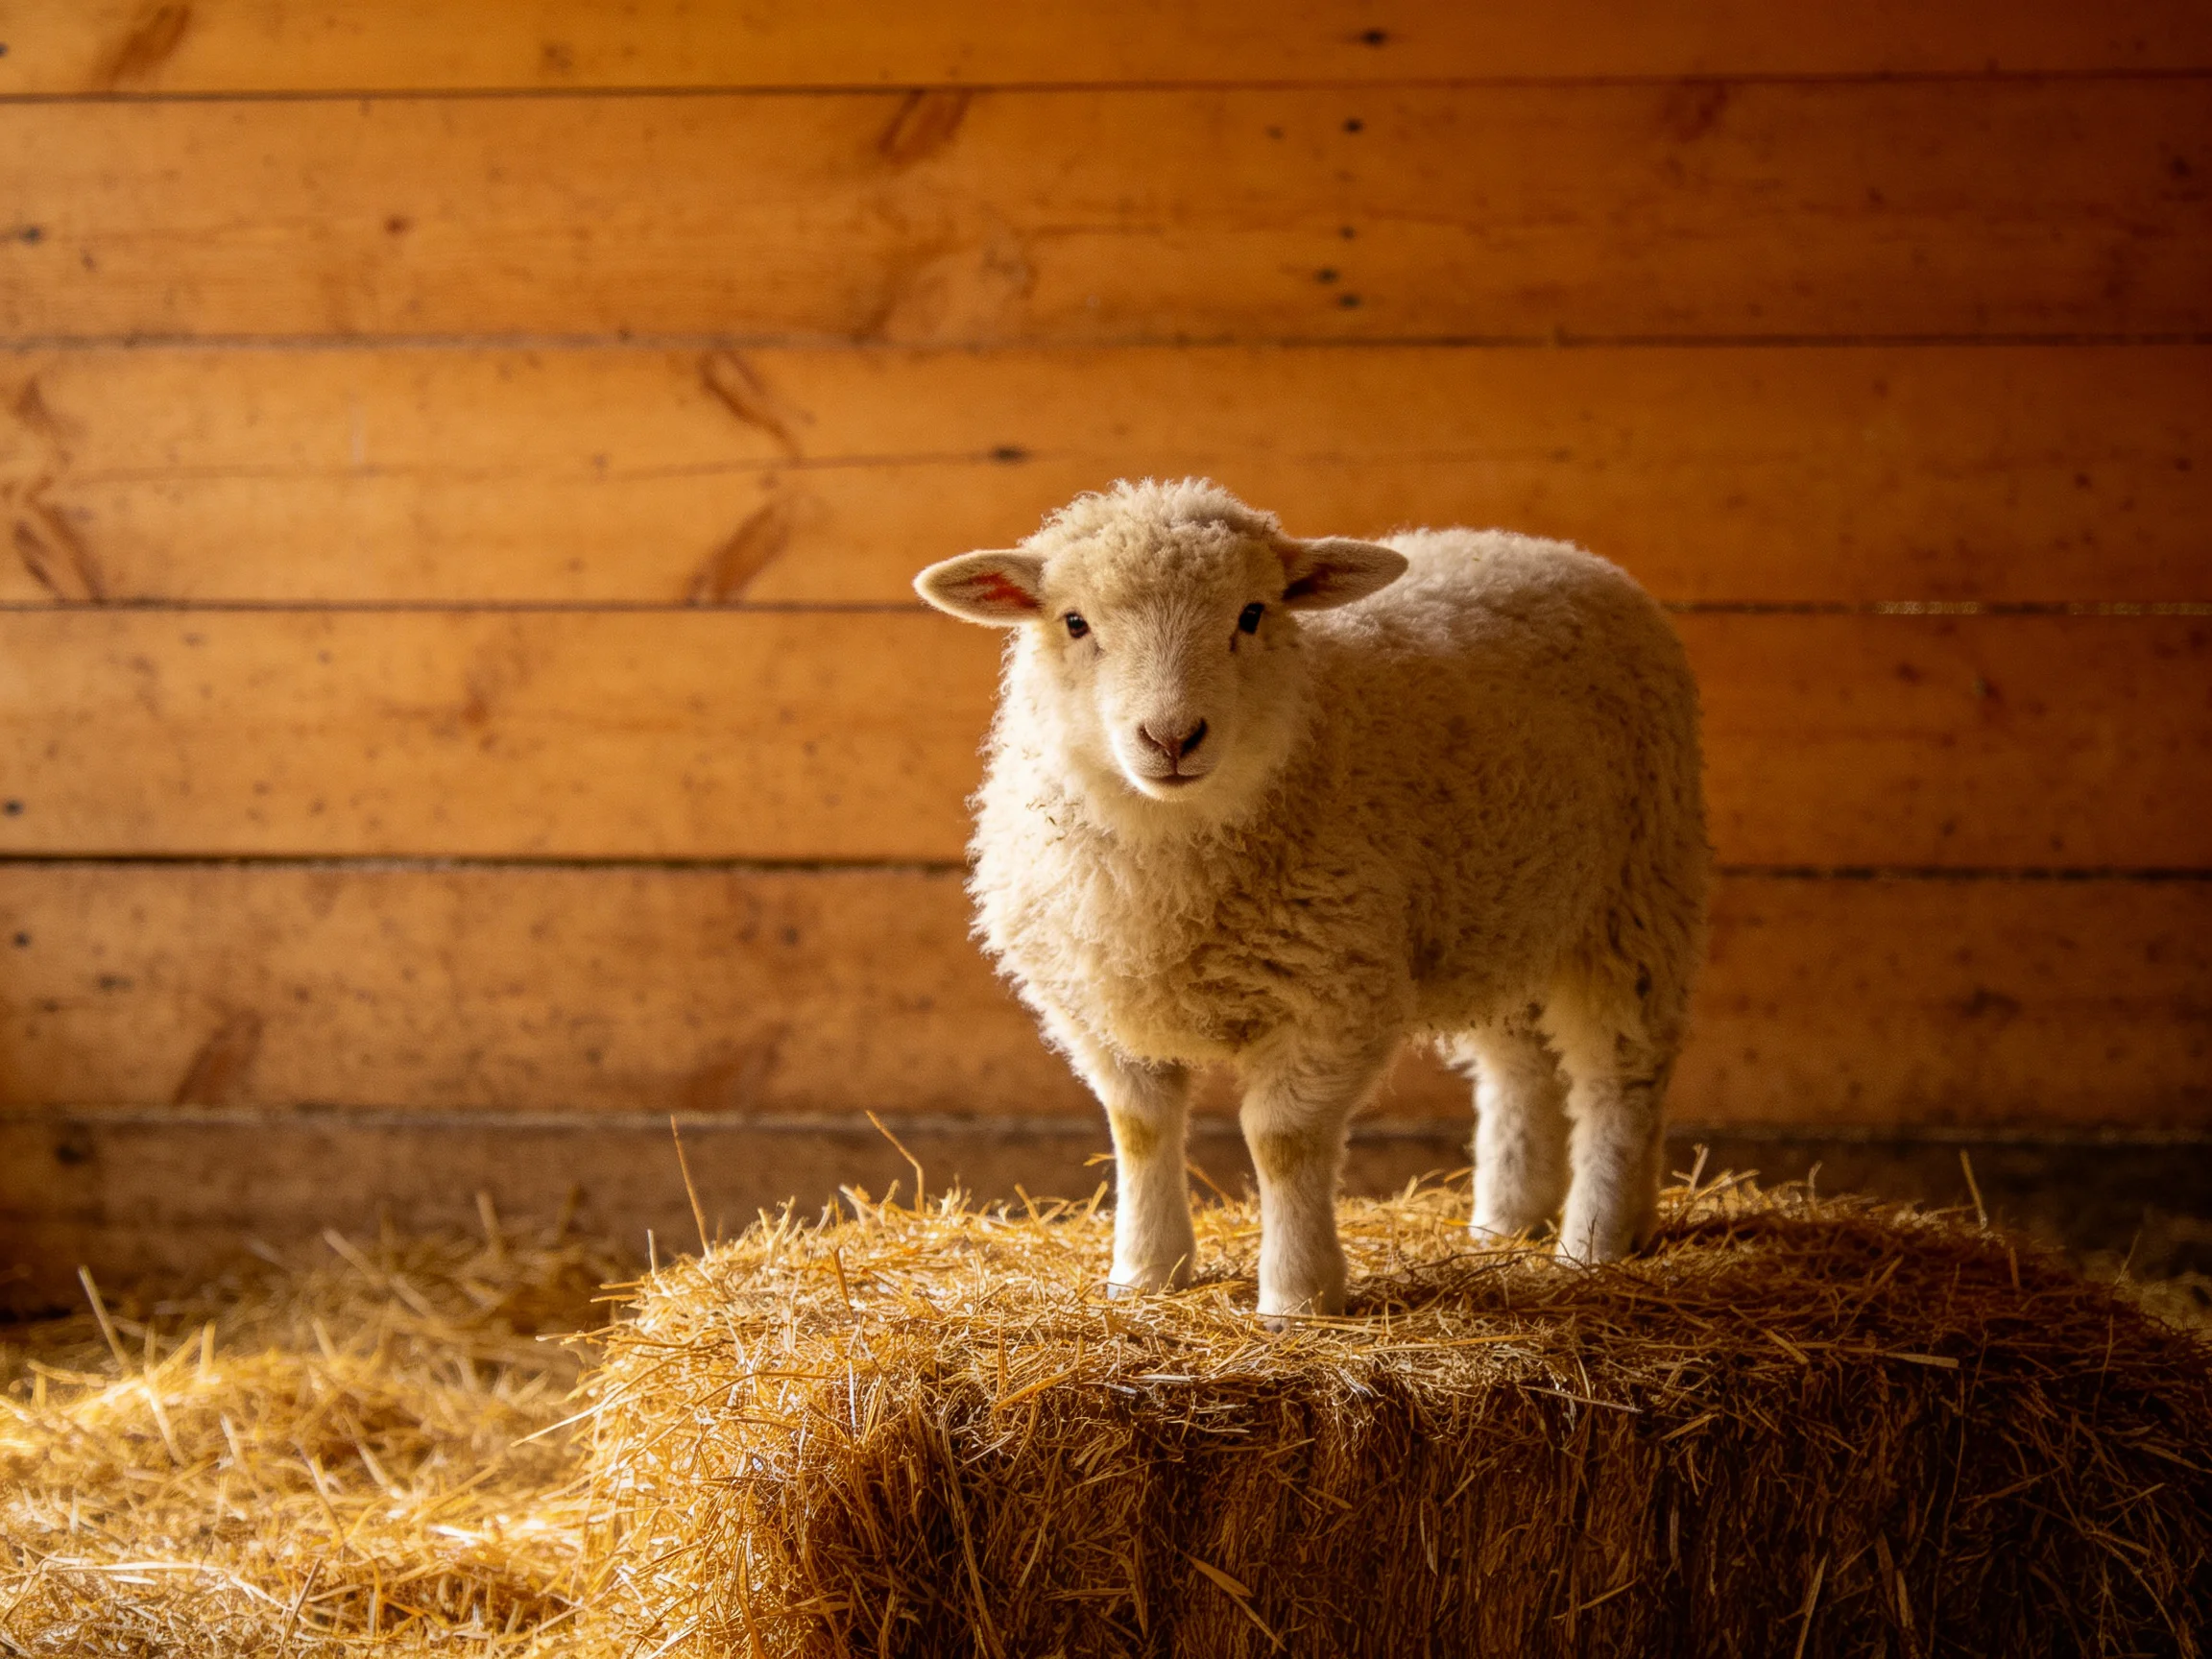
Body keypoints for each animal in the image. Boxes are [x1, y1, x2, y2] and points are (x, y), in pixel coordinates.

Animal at [915, 479, 1708, 1318]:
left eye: (1252, 614)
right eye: (1074, 622)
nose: (1172, 738)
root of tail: (1555, 551)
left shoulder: (1332, 993)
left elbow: (1283, 1143)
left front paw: (1297, 1295)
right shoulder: (1094, 1001)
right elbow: (1140, 1127)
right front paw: (1146, 1273)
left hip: (1637, 890)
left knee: (1621, 1074)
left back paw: (1596, 1239)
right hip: (1502, 907)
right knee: (1519, 1066)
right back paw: (1509, 1220)